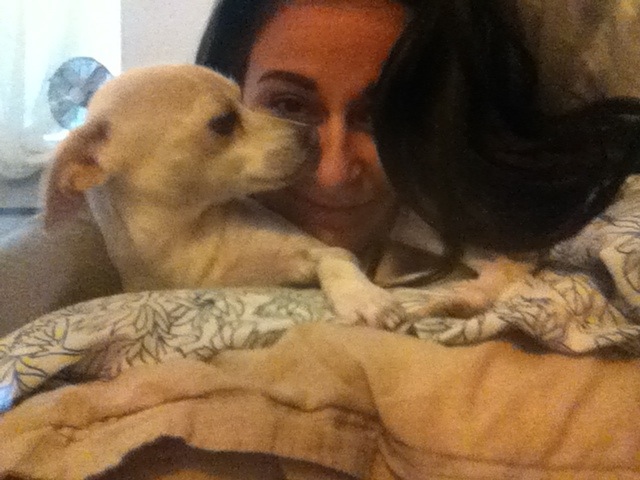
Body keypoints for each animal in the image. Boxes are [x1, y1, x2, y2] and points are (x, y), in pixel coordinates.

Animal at [43, 64, 404, 328]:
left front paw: (363, 297)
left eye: (245, 101)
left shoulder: (321, 251)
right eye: (223, 121)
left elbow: (337, 262)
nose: (312, 135)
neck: (188, 237)